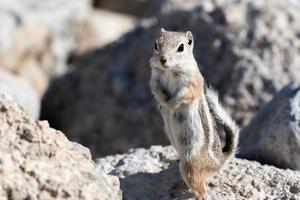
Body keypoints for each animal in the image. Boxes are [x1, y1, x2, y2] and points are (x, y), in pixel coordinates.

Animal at [148, 28, 239, 199]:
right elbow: (155, 88)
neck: (170, 71)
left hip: (190, 164)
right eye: (156, 45)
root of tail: (218, 162)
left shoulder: (191, 83)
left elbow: (183, 95)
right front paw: (163, 101)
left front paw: (170, 104)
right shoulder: (154, 77)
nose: (162, 59)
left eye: (181, 47)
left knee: (203, 189)